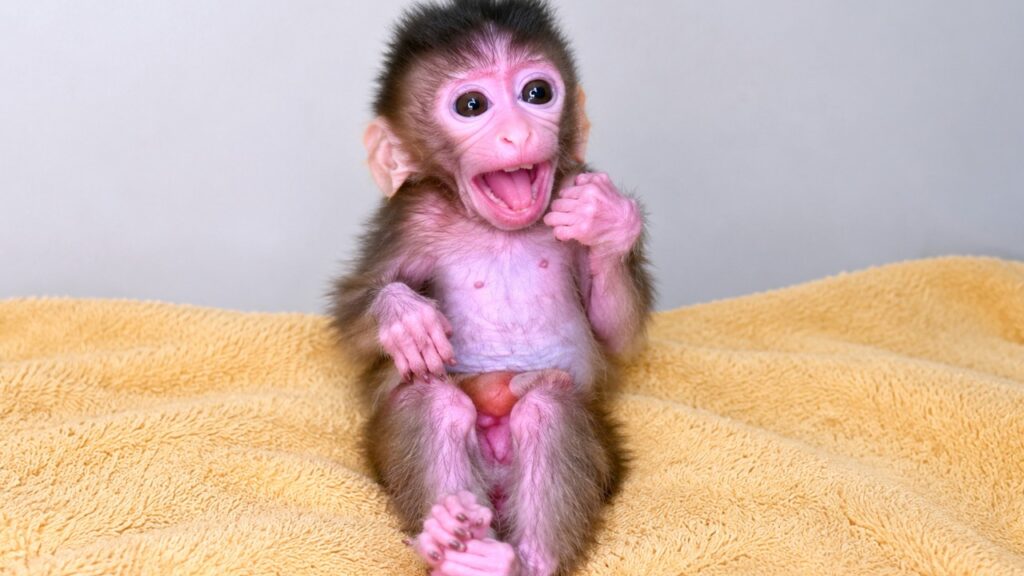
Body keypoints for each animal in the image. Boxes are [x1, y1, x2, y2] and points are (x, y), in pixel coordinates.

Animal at [329, 1, 653, 574]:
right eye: (472, 105)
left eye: (537, 93)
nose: (518, 134)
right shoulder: (410, 217)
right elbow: (353, 318)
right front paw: (403, 317)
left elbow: (616, 332)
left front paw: (610, 221)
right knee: (434, 403)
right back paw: (452, 541)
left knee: (548, 407)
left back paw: (513, 560)